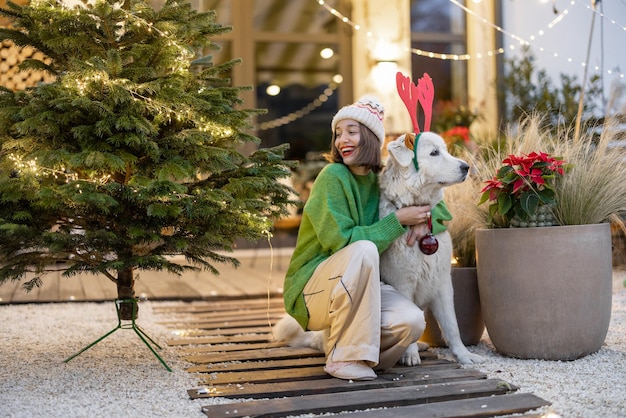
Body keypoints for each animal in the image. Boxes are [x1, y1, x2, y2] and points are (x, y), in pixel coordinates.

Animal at [378, 133, 480, 366]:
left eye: (445, 150)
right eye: (434, 153)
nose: (466, 167)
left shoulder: (442, 283)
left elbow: (452, 326)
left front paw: (464, 356)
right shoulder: (402, 283)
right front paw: (410, 355)